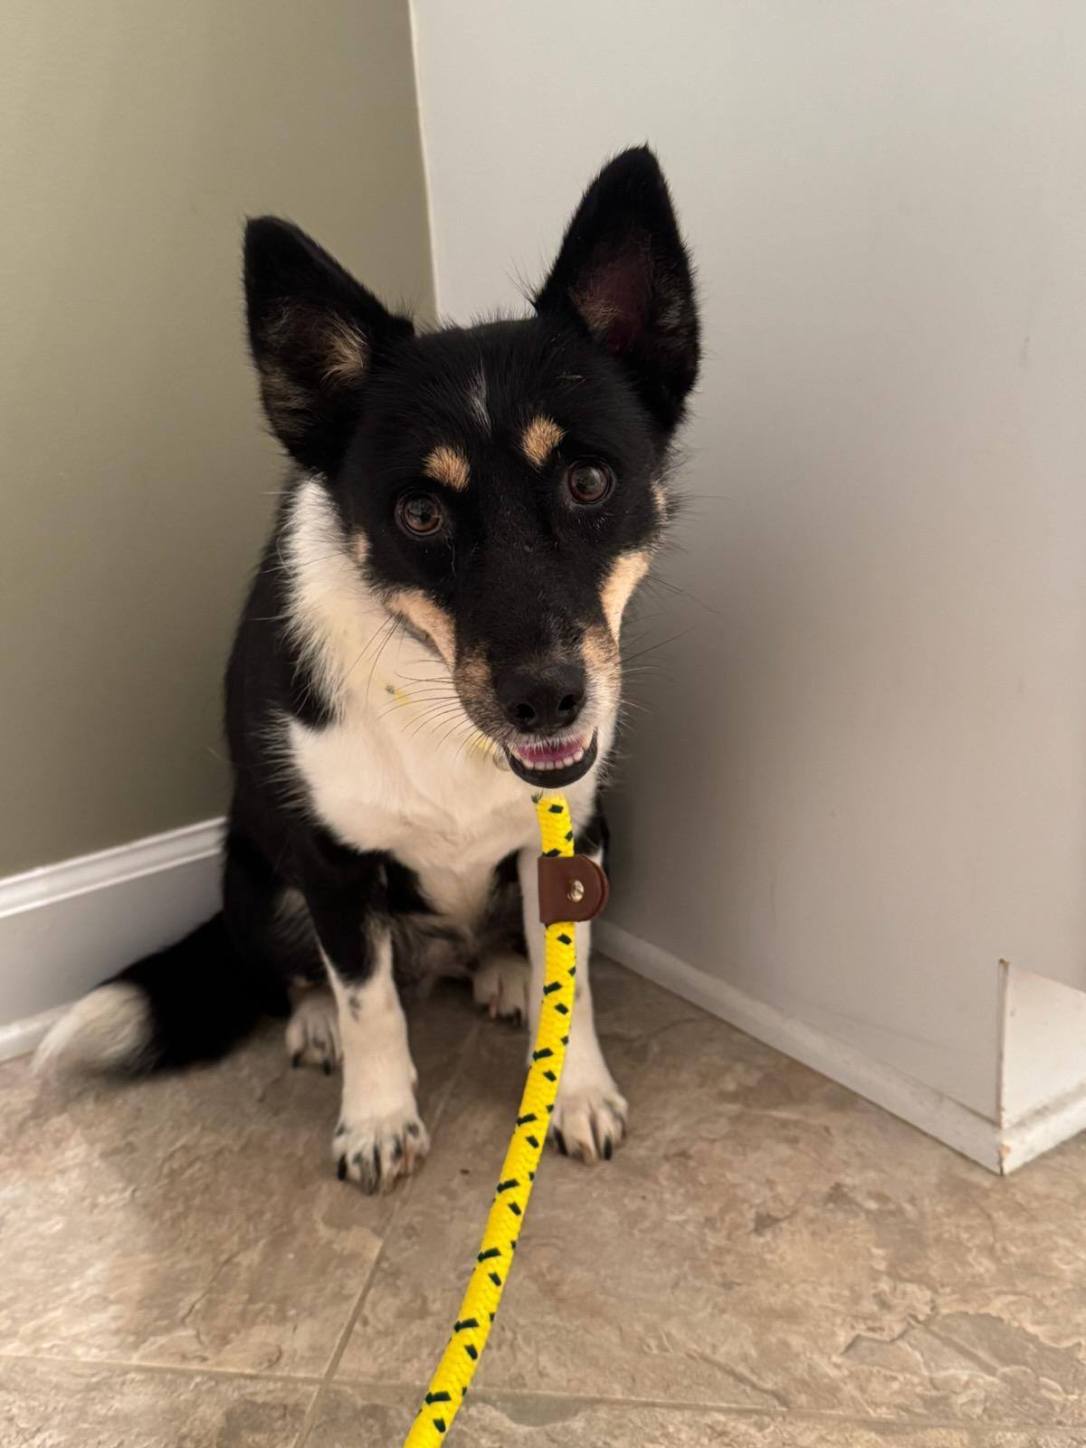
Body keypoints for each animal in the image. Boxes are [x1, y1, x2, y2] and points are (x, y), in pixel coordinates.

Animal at [38, 147, 700, 1193]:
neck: (432, 700)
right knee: (303, 973)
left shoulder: (573, 846)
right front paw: (378, 1118)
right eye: (419, 513)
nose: (547, 698)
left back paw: (503, 973)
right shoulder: (332, 867)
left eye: (590, 481)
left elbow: (578, 986)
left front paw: (575, 1089)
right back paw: (316, 1023)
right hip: (253, 874)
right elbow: (369, 1002)